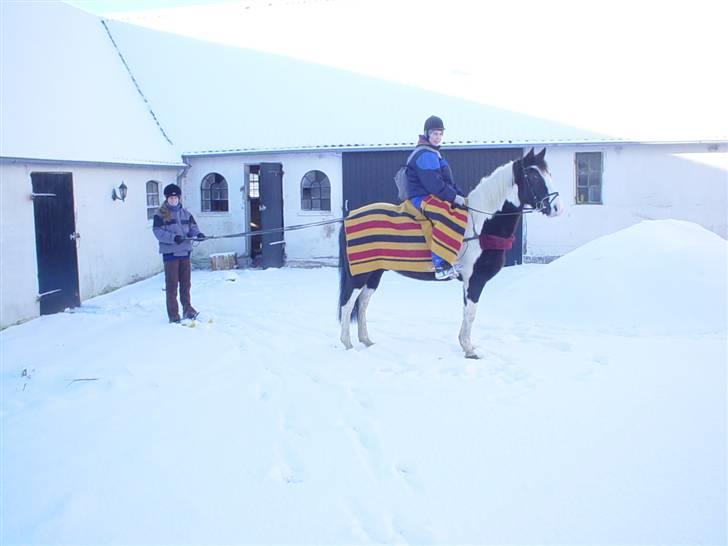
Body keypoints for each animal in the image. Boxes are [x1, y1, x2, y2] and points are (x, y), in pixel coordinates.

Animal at [338, 147, 564, 356]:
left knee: (362, 303)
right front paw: (469, 349)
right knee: (347, 305)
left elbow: (466, 312)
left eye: (549, 174)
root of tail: (349, 216)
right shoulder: (474, 279)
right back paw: (347, 344)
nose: (557, 209)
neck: (480, 224)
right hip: (359, 274)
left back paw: (366, 340)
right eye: (533, 176)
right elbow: (470, 313)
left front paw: (466, 345)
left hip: (375, 272)